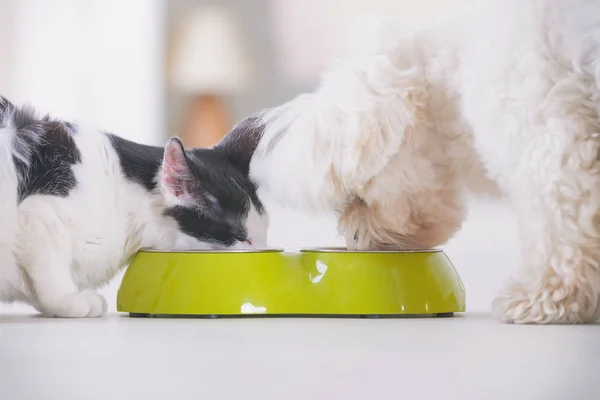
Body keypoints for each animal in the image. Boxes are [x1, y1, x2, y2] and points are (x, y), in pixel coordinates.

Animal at [0, 95, 268, 318]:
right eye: (242, 237)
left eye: (264, 232)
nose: (263, 249)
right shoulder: (40, 213)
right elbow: (50, 266)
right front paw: (68, 299)